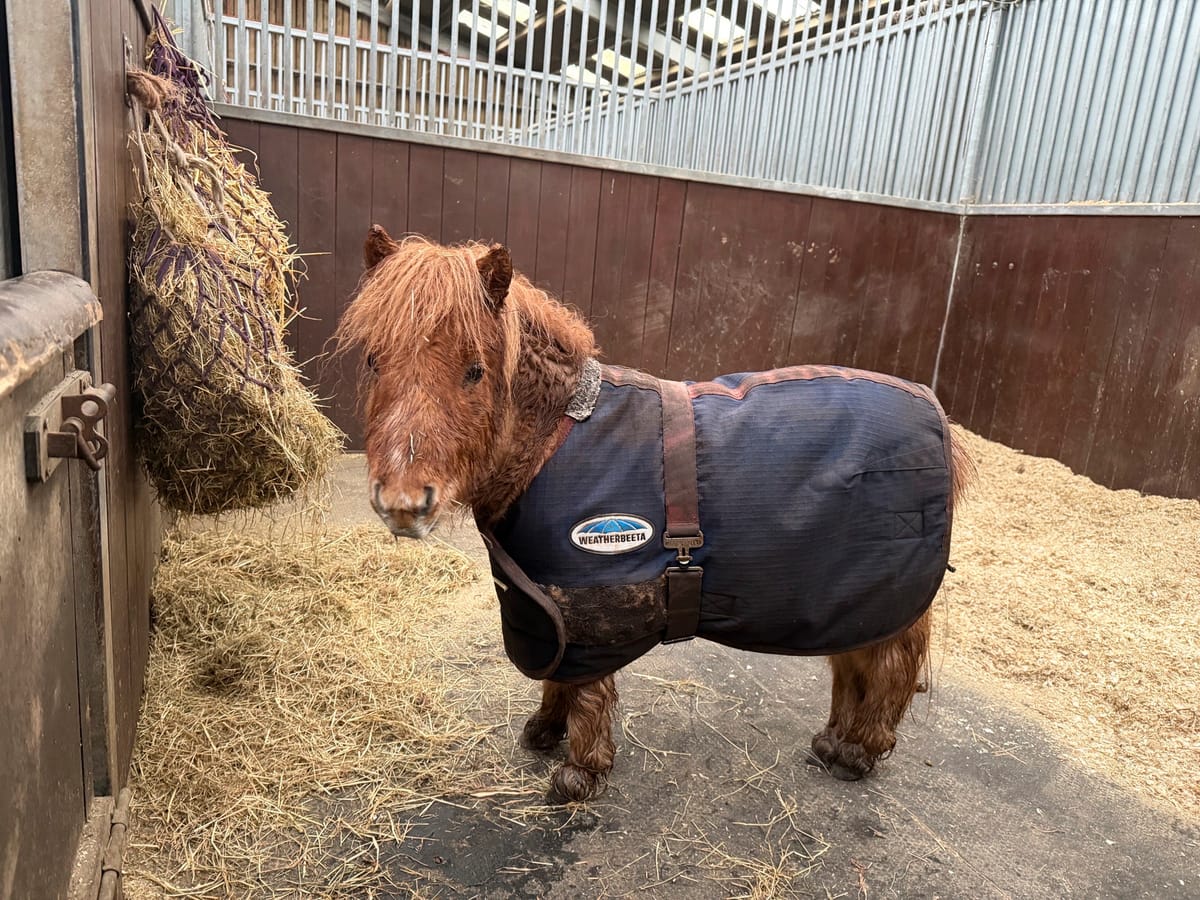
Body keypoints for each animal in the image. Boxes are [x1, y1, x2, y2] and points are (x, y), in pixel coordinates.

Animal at [337, 226, 973, 803]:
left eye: (474, 369)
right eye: (373, 360)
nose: (402, 503)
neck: (553, 437)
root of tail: (939, 419)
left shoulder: (590, 608)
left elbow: (587, 689)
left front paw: (581, 773)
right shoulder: (549, 604)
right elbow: (559, 675)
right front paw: (546, 731)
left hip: (882, 597)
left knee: (887, 667)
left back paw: (857, 751)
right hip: (851, 602)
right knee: (853, 666)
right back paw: (834, 741)